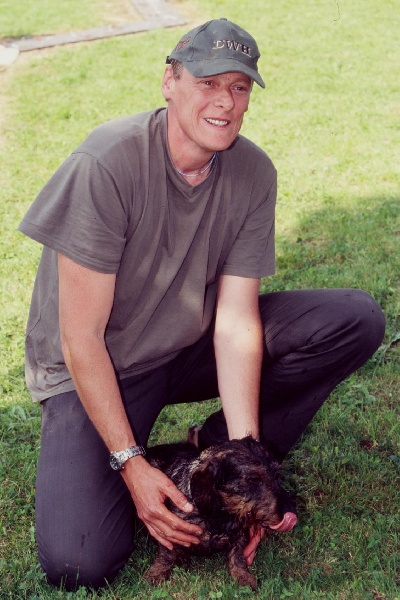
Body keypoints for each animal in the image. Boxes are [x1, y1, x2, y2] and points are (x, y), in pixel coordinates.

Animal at [144, 436, 297, 590]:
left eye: (277, 474)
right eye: (253, 478)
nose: (291, 513)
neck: (221, 515)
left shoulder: (239, 535)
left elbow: (237, 556)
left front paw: (243, 576)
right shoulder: (170, 527)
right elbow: (167, 552)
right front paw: (158, 572)